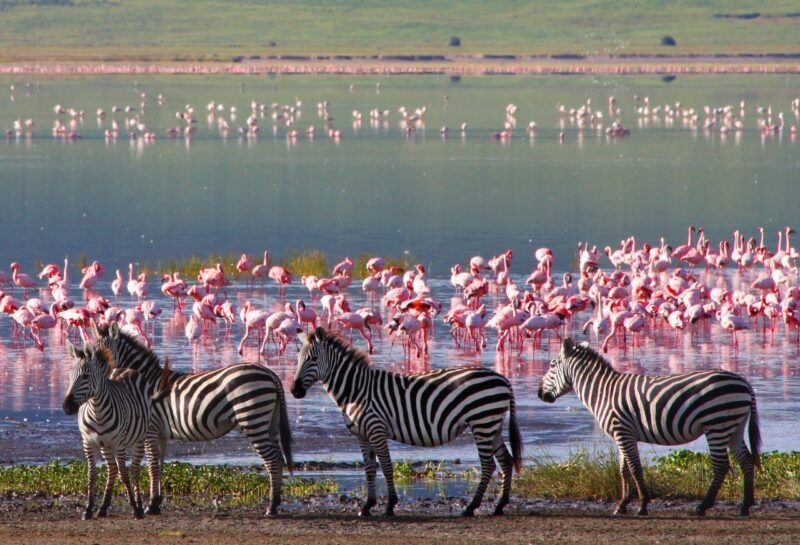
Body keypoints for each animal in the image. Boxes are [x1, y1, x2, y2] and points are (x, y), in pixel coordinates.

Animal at [63, 341, 152, 520]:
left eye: (85, 376)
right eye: (69, 375)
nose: (67, 407)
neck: (97, 411)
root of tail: (124, 368)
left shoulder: (119, 444)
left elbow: (124, 475)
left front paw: (134, 508)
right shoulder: (88, 443)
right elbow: (91, 474)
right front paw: (88, 509)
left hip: (138, 439)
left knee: (134, 470)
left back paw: (139, 505)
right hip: (106, 445)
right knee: (112, 470)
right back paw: (103, 507)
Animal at [90, 321, 293, 516]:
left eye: (102, 355)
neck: (144, 383)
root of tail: (271, 374)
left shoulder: (150, 430)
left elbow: (152, 465)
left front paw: (150, 505)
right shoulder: (161, 433)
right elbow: (160, 464)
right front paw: (156, 502)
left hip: (252, 418)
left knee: (272, 459)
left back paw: (271, 507)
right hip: (270, 422)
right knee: (278, 457)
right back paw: (276, 503)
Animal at [291, 326, 523, 517]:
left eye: (313, 359)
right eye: (298, 358)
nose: (294, 390)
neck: (356, 390)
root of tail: (503, 379)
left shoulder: (376, 429)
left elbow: (386, 467)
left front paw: (390, 506)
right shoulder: (362, 435)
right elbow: (369, 468)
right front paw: (367, 506)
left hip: (482, 422)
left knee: (488, 465)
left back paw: (471, 507)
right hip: (492, 424)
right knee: (506, 460)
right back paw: (500, 505)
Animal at [538, 338, 761, 516]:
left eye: (552, 365)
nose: (539, 394)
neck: (603, 391)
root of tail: (744, 382)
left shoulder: (623, 432)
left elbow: (635, 468)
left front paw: (642, 505)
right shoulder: (622, 434)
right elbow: (623, 469)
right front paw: (622, 505)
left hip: (716, 424)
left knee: (721, 465)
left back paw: (703, 506)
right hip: (733, 426)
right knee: (746, 460)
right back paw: (745, 506)